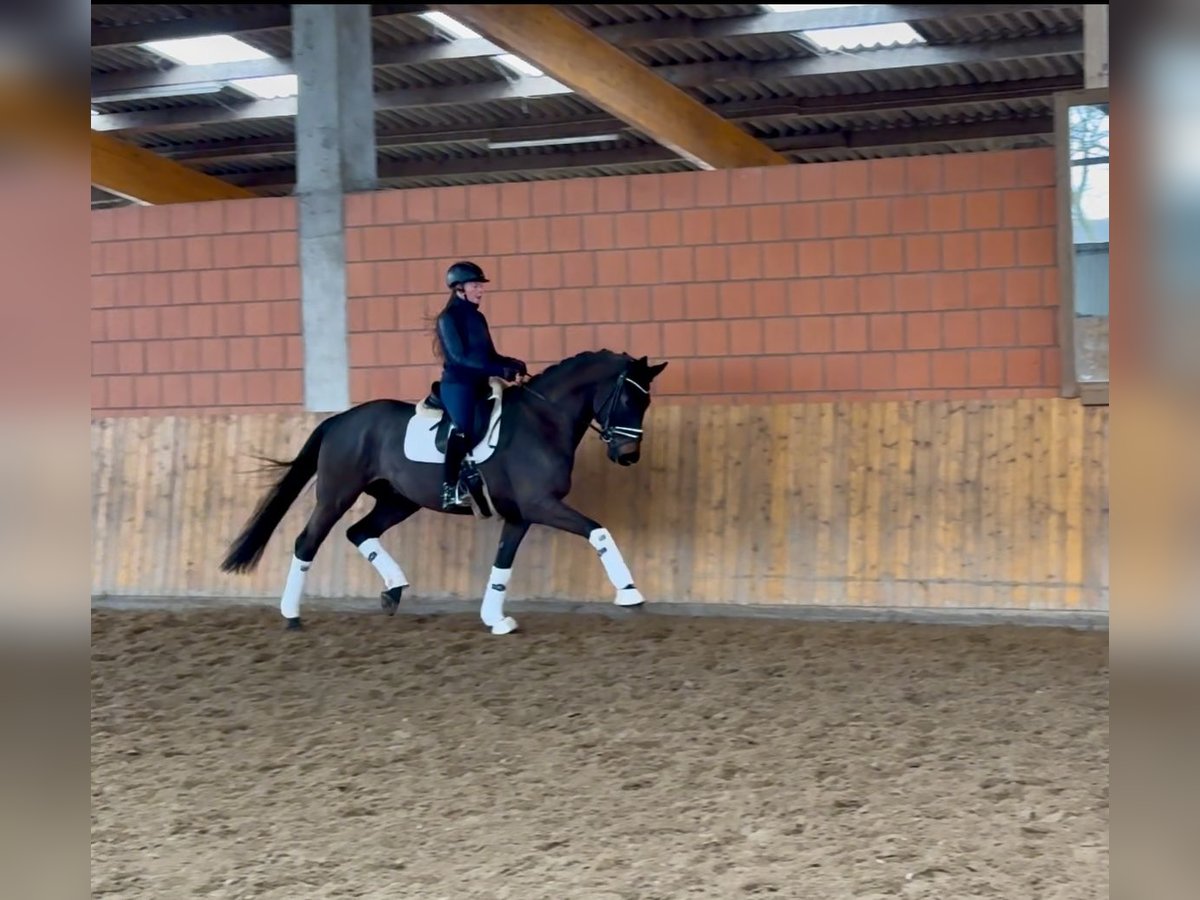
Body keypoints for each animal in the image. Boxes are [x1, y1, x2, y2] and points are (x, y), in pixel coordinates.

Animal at [219, 349, 669, 635]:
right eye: (626, 398)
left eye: (646, 402)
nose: (628, 455)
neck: (543, 420)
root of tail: (340, 420)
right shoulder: (542, 505)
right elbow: (599, 531)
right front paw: (630, 593)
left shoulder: (521, 514)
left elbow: (502, 564)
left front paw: (495, 619)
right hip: (337, 495)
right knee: (307, 541)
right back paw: (292, 616)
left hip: (398, 501)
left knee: (360, 532)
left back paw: (394, 591)